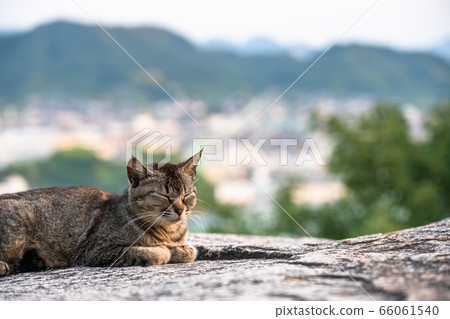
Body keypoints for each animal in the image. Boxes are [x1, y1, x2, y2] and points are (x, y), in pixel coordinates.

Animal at [0, 151, 202, 276]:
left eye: (186, 195)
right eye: (164, 195)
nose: (180, 210)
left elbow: (189, 250)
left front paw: (179, 250)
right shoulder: (97, 250)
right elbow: (154, 252)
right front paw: (164, 250)